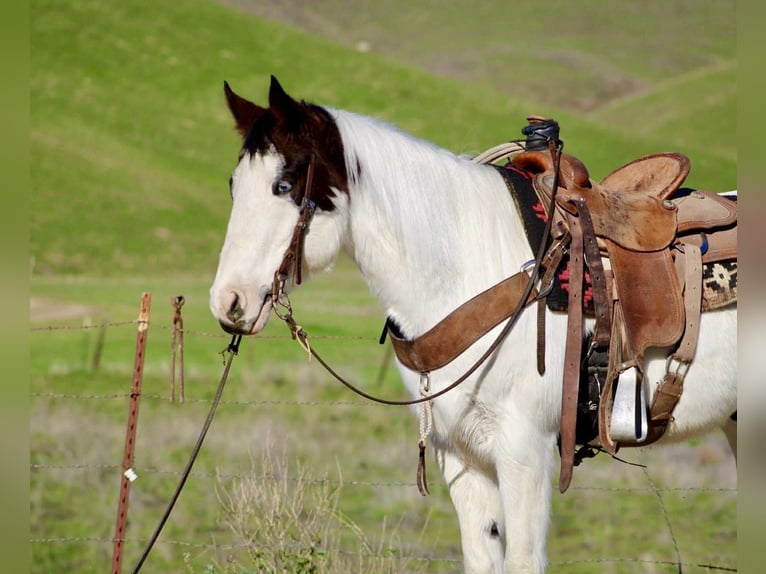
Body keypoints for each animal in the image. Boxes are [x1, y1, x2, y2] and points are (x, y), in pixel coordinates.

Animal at [209, 76, 737, 573]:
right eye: (233, 185)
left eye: (284, 185)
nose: (228, 301)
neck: (468, 262)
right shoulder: (461, 454)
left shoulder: (525, 447)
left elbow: (523, 560)